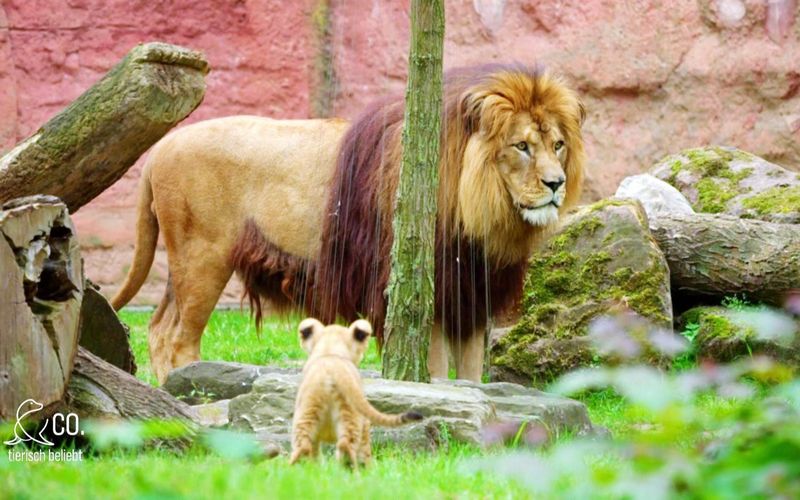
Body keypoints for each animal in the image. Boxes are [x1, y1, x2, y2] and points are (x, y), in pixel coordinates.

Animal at [112, 63, 584, 382]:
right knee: (179, 338)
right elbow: (434, 371)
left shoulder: (469, 294)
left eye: (558, 145)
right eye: (521, 146)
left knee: (158, 329)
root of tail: (162, 146)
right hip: (204, 257)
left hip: (184, 261)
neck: (482, 214)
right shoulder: (422, 293)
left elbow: (469, 377)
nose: (556, 184)